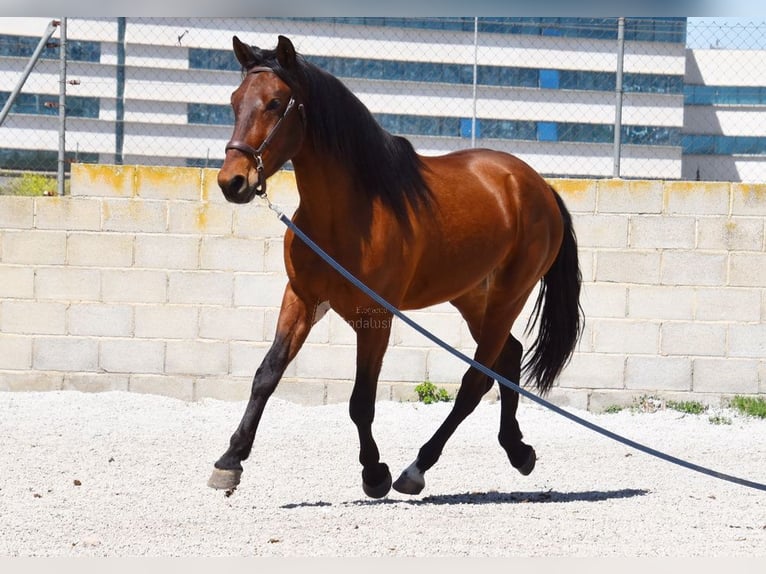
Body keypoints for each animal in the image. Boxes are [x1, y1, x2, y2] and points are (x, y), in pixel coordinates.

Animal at [209, 34, 583, 498]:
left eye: (276, 103)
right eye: (234, 101)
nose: (232, 182)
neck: (350, 214)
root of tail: (539, 186)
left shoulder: (375, 318)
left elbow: (360, 402)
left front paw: (375, 473)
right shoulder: (301, 299)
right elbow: (267, 374)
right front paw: (230, 460)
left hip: (508, 297)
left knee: (475, 382)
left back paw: (417, 468)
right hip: (472, 297)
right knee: (508, 358)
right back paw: (518, 451)